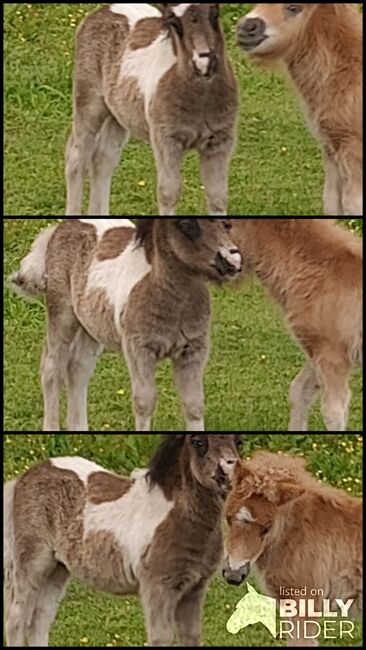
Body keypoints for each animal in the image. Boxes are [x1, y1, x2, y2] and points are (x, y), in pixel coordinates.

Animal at [4, 432, 243, 644]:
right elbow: (161, 638)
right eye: (199, 442)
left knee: (40, 619)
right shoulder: (157, 588)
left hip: (57, 568)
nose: (231, 472)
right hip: (33, 562)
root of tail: (24, 477)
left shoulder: (194, 589)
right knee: (17, 617)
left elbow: (191, 636)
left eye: (238, 441)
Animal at [8, 218, 242, 430]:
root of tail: (60, 226)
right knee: (52, 368)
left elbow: (194, 405)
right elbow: (144, 402)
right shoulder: (139, 350)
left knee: (78, 368)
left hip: (90, 327)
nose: (232, 260)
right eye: (187, 225)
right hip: (62, 313)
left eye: (226, 224)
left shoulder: (193, 351)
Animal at [237, 3, 364, 215]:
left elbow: (352, 205)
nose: (246, 27)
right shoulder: (330, 145)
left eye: (293, 8)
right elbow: (332, 203)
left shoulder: (352, 145)